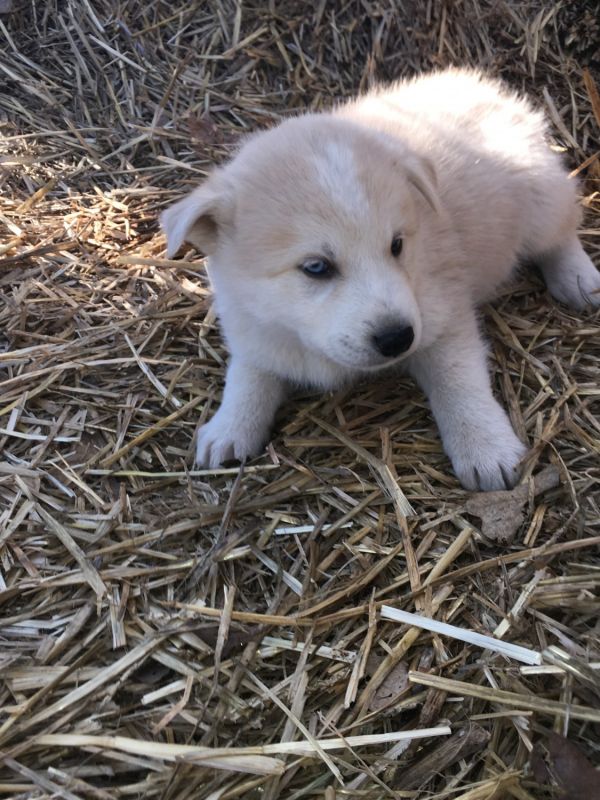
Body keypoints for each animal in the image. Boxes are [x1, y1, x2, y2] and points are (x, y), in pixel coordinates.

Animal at [161, 70, 600, 494]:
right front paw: (228, 428)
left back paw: (579, 279)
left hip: (541, 201)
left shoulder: (443, 317)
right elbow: (248, 376)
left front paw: (485, 447)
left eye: (396, 245)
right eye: (316, 267)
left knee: (561, 233)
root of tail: (489, 91)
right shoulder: (254, 330)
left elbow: (460, 381)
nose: (397, 338)